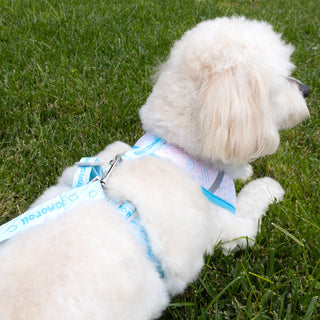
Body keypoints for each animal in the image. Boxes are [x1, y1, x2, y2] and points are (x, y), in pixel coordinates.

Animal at [0, 16, 310, 320]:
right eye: (283, 81)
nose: (307, 89)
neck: (177, 151)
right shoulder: (234, 229)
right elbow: (252, 201)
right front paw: (266, 185)